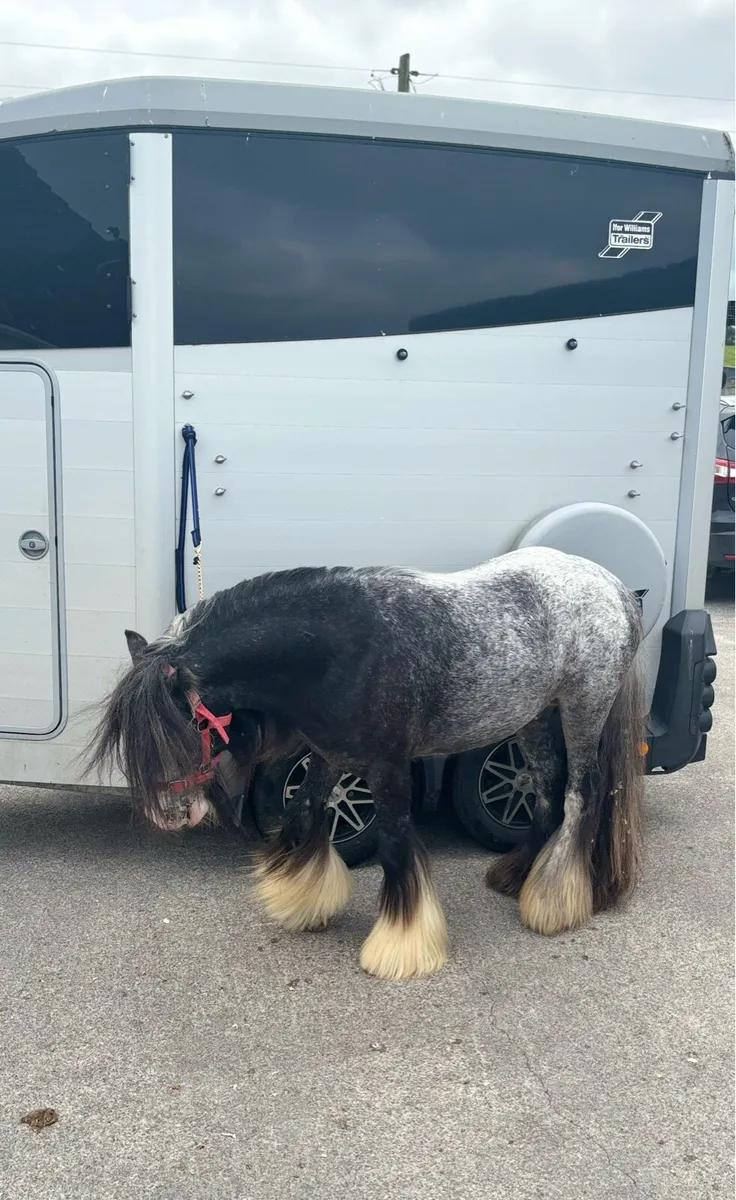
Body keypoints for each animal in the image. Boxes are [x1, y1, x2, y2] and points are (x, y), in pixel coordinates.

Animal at [84, 546, 646, 981]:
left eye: (187, 728)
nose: (170, 813)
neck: (338, 652)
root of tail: (615, 587)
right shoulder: (332, 756)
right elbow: (304, 813)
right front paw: (298, 897)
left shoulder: (387, 766)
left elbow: (394, 844)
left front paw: (402, 945)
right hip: (534, 716)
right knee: (546, 788)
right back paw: (520, 877)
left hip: (583, 708)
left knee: (580, 794)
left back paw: (555, 903)